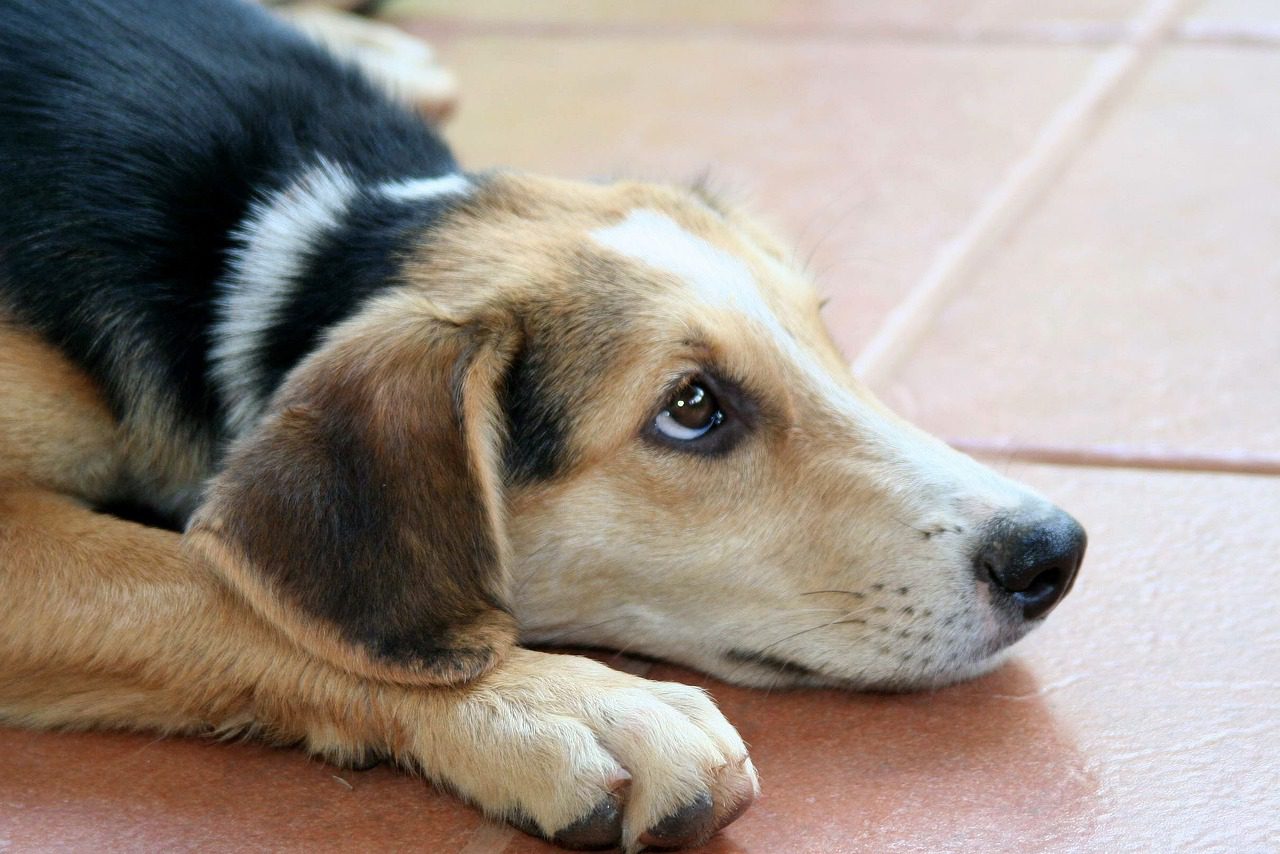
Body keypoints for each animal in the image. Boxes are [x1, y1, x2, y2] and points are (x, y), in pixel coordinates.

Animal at [0, 0, 1090, 850]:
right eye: (691, 407)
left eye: (823, 336)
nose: (1053, 551)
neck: (272, 248)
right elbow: (211, 587)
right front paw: (572, 702)